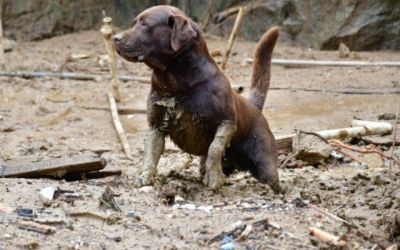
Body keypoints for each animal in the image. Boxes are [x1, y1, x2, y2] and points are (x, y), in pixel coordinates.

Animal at [112, 4, 280, 191]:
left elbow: (215, 147)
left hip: (265, 163)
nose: (115, 38)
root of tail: (254, 106)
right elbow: (150, 153)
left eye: (144, 24)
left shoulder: (227, 122)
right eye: (135, 22)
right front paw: (145, 176)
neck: (174, 82)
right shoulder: (155, 125)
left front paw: (214, 178)